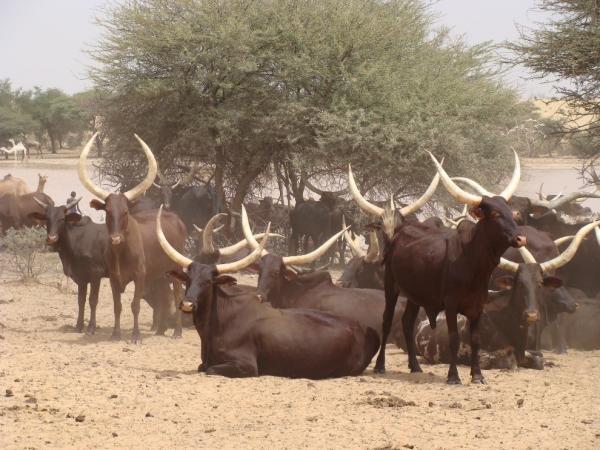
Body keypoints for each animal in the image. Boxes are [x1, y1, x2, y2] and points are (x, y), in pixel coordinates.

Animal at [78, 133, 185, 342]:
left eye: (126, 212)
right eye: (108, 212)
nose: (116, 239)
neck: (121, 252)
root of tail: (176, 218)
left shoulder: (140, 275)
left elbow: (135, 305)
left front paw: (136, 335)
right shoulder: (113, 277)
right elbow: (117, 306)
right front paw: (116, 333)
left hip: (176, 268)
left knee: (176, 296)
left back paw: (177, 332)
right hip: (160, 274)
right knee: (163, 298)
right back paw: (160, 330)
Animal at [156, 208, 380, 380]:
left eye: (208, 282)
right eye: (188, 279)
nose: (187, 304)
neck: (220, 321)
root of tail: (363, 329)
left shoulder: (246, 365)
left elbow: (209, 369)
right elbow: (202, 366)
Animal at [350, 151, 528, 384]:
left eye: (512, 213)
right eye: (496, 214)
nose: (521, 238)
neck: (472, 261)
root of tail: (399, 229)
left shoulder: (478, 306)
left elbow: (475, 340)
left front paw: (477, 375)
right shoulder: (450, 305)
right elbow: (454, 338)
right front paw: (453, 376)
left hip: (415, 295)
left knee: (407, 323)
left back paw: (415, 366)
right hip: (391, 286)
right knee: (387, 321)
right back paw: (380, 366)